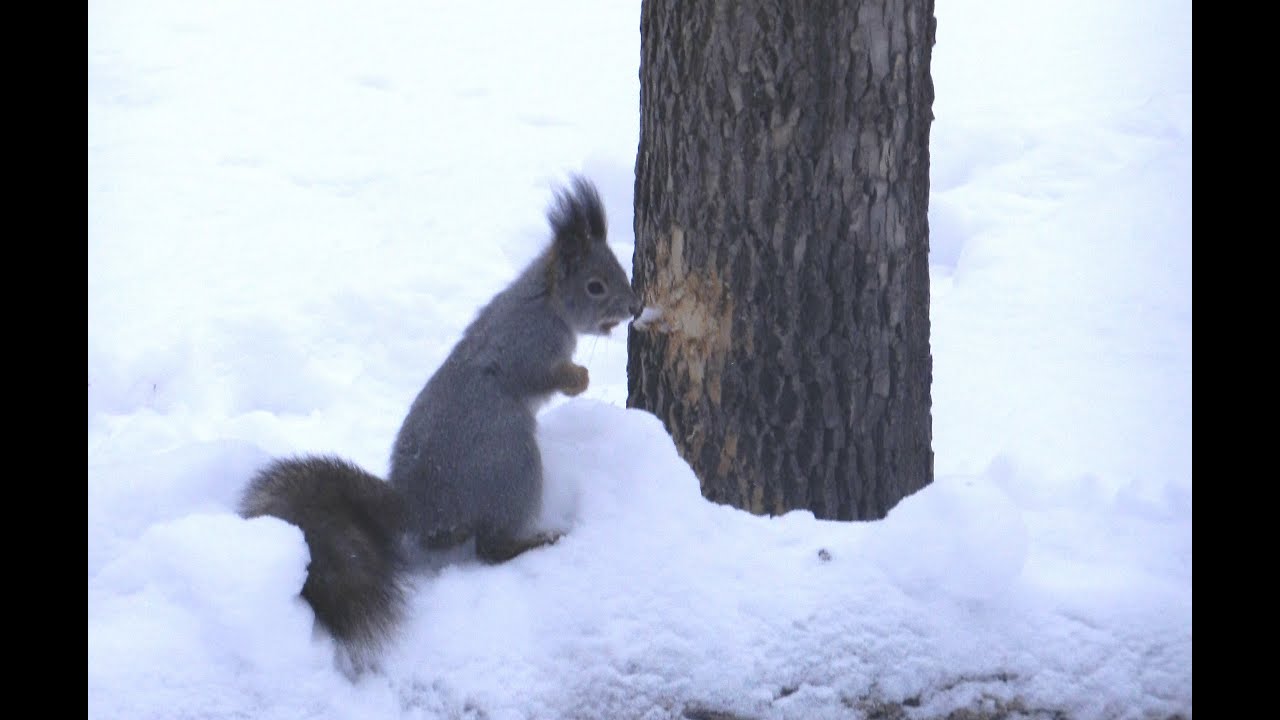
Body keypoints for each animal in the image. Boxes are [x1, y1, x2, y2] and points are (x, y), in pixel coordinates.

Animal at [238, 176, 640, 666]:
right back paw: (536, 541)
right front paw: (579, 378)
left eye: (619, 270)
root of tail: (417, 506)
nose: (635, 308)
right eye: (595, 286)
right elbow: (537, 376)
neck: (545, 302)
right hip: (512, 464)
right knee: (490, 548)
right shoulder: (527, 347)